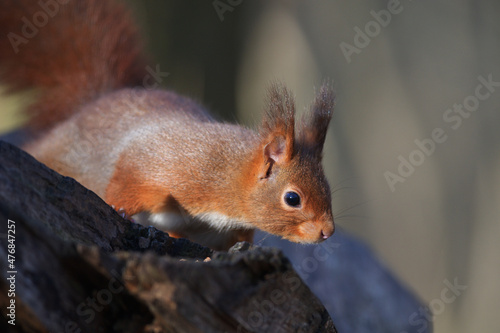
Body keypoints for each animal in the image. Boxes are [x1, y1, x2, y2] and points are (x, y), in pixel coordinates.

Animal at [0, 0, 336, 249]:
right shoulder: (158, 163)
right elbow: (126, 180)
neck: (225, 174)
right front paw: (119, 209)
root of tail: (92, 103)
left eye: (328, 187)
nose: (328, 232)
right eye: (292, 198)